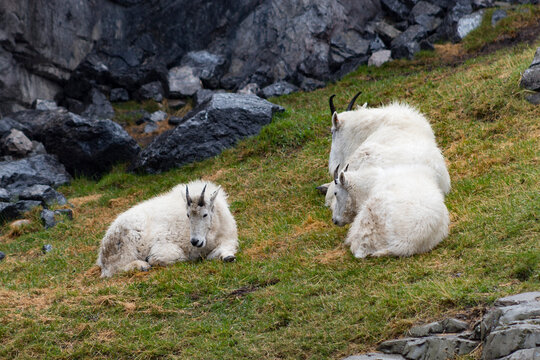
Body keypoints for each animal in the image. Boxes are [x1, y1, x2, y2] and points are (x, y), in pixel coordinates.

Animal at [96, 180, 238, 278]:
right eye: (188, 215)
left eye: (205, 214)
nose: (195, 241)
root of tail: (102, 253)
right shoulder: (164, 244)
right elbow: (168, 257)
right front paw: (150, 260)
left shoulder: (227, 238)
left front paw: (228, 257)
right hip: (126, 244)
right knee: (114, 269)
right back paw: (142, 266)